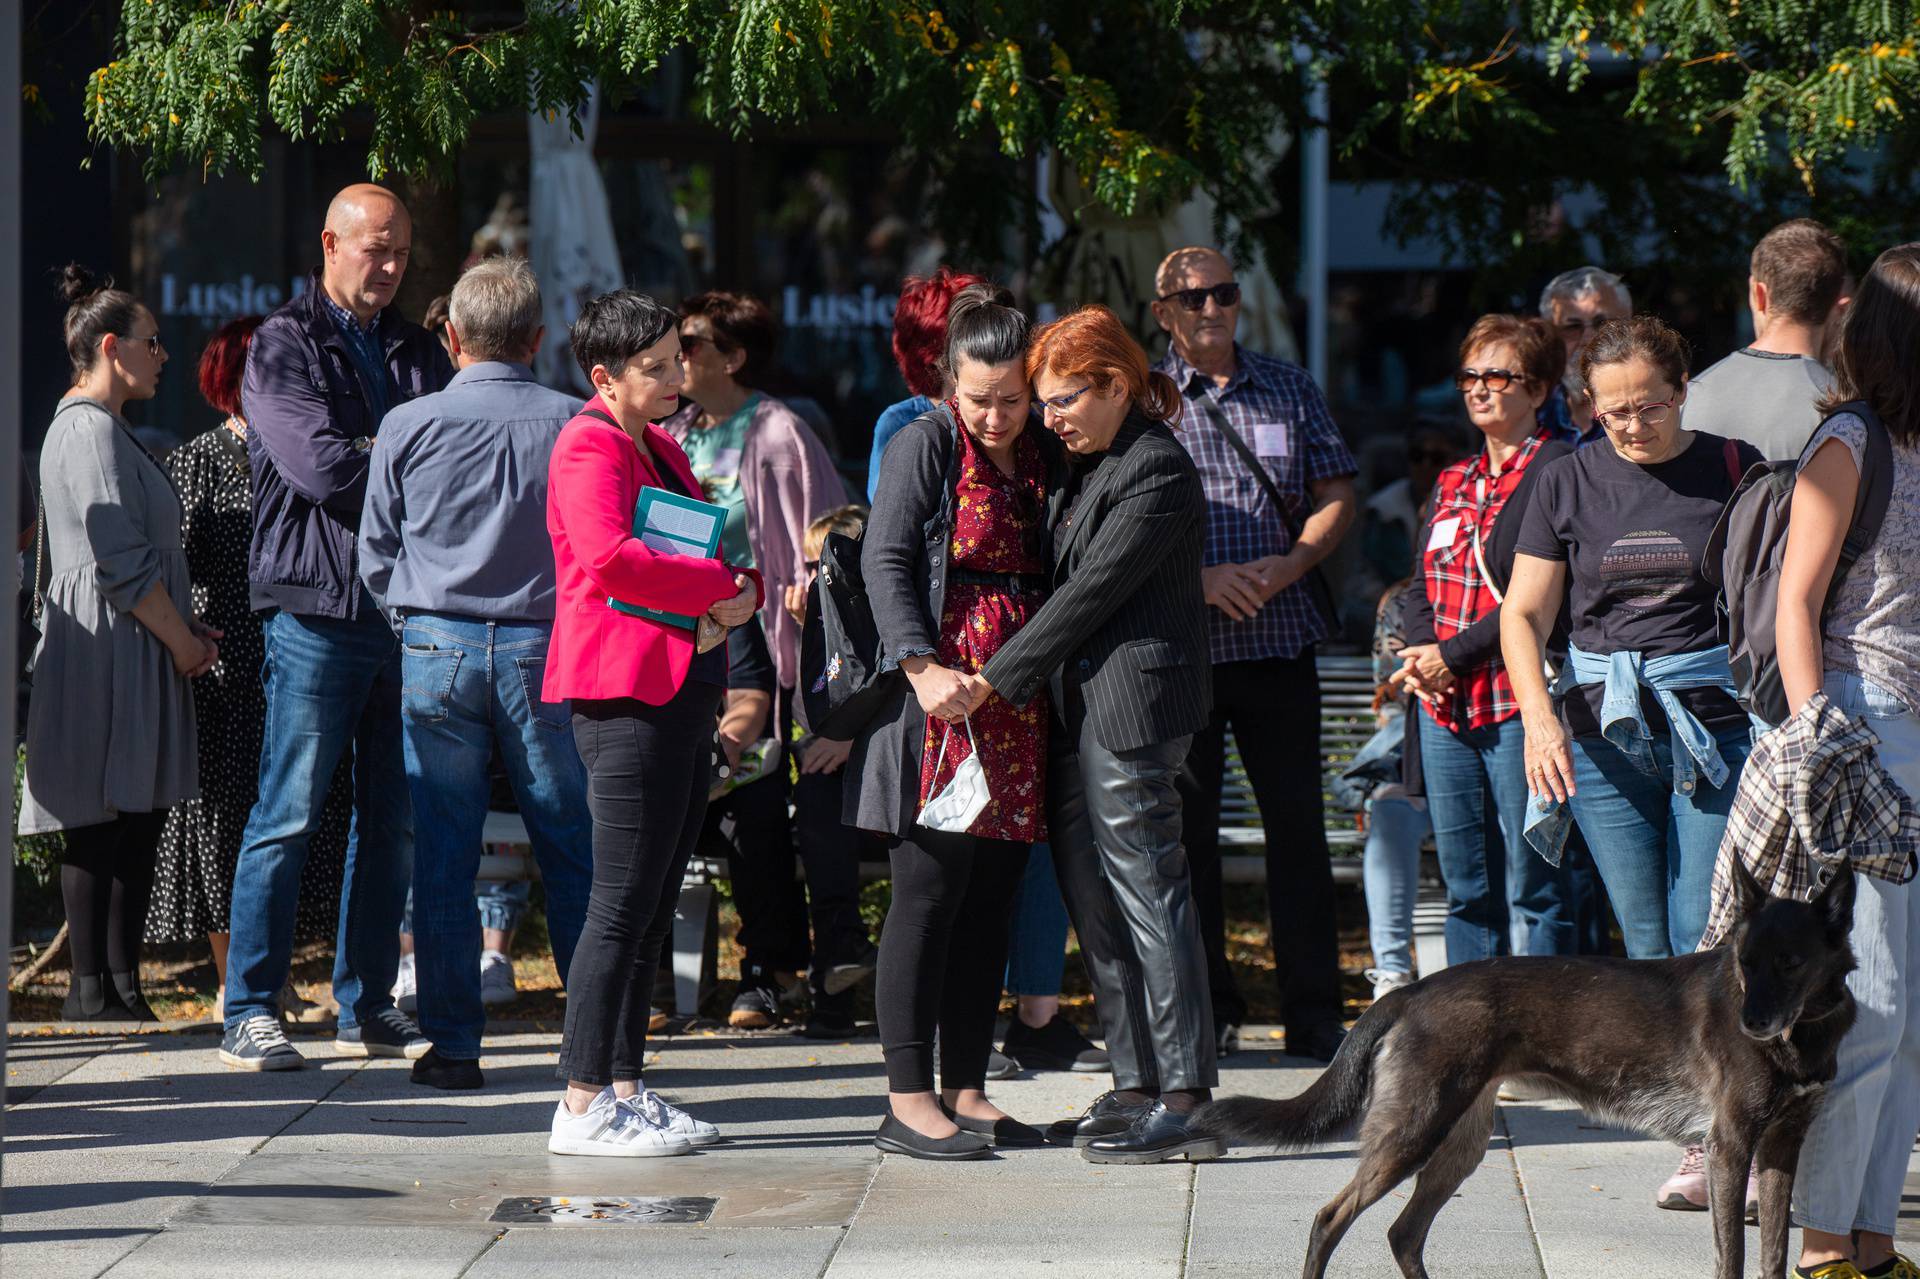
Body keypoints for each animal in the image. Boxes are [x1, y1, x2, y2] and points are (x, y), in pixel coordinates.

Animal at [1198, 856, 1858, 1275]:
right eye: (1745, 962)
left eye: (1792, 963)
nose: (1751, 1025)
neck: (1802, 1031)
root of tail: (1413, 990)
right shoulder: (1729, 1148)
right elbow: (1734, 1258)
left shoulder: (1780, 1149)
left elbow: (1772, 1254)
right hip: (1414, 1133)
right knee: (1329, 1219)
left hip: (1460, 1144)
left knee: (1403, 1233)